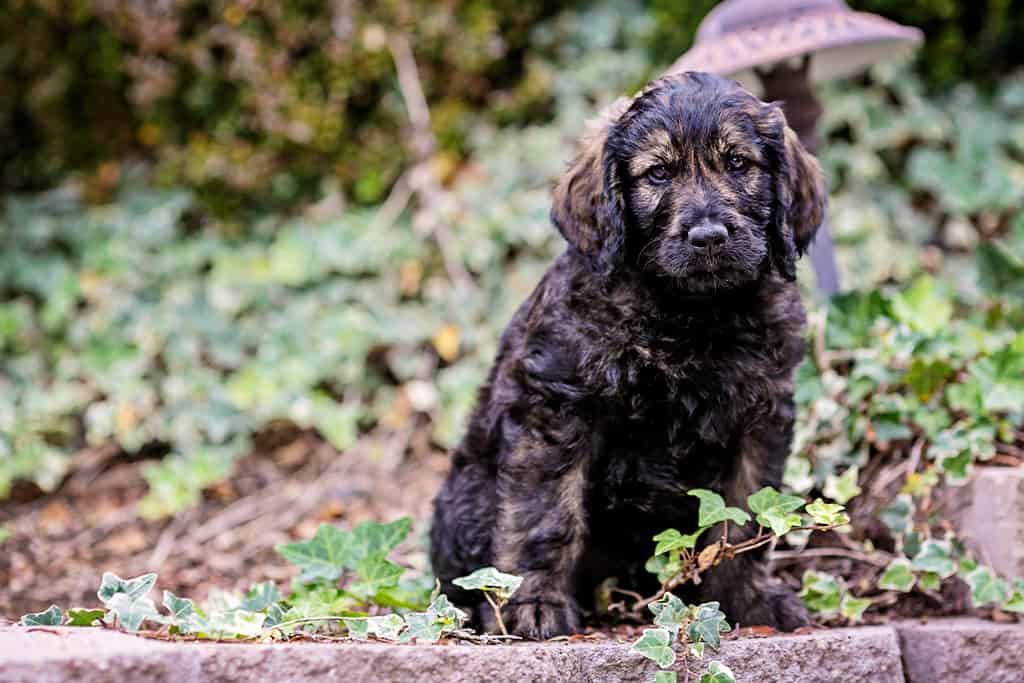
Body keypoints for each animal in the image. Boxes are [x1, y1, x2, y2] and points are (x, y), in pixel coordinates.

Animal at [428, 72, 827, 638]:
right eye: (658, 173)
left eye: (738, 164)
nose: (708, 236)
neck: (690, 314)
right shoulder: (557, 408)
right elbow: (544, 512)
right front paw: (535, 604)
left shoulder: (760, 418)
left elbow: (742, 518)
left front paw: (750, 599)